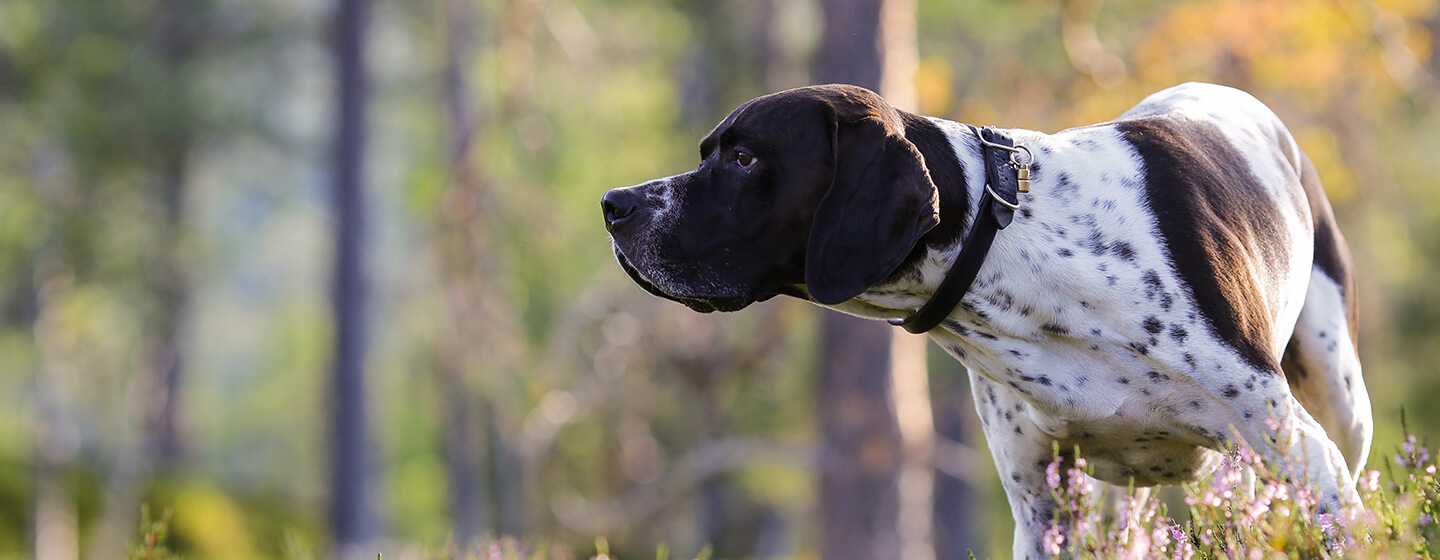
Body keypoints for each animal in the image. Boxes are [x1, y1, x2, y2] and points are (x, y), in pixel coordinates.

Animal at [599, 80, 1370, 555]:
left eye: (743, 156)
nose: (613, 204)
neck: (1008, 241)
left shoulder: (1307, 461)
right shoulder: (1043, 509)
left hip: (1339, 406)